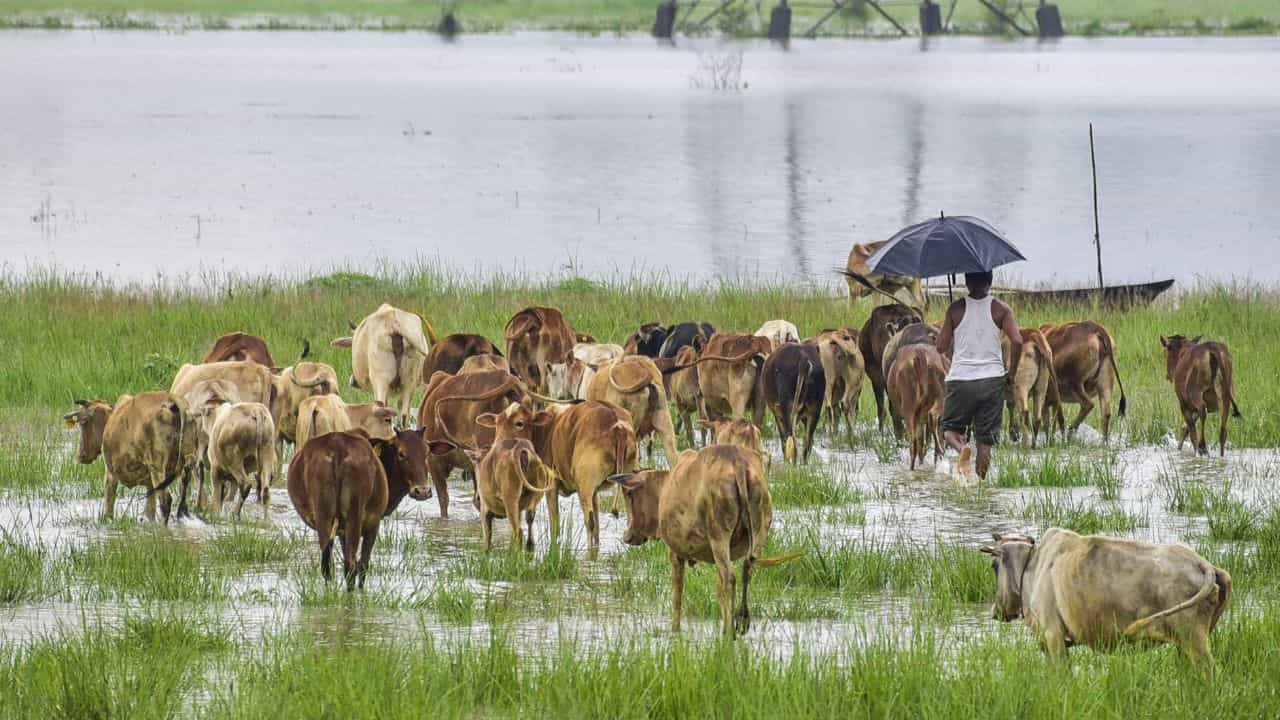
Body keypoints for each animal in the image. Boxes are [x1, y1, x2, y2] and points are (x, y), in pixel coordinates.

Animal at [63, 393, 198, 524]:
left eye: (83, 424)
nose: (80, 455)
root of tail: (172, 400)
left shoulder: (110, 473)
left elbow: (109, 508)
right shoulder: (149, 484)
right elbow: (150, 512)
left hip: (157, 467)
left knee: (165, 500)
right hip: (187, 463)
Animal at [287, 430, 388, 591]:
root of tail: (337, 446)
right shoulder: (374, 523)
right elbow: (364, 564)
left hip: (325, 514)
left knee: (329, 564)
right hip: (353, 513)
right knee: (350, 564)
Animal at [608, 445, 793, 638]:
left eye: (630, 494)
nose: (627, 536)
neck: (664, 487)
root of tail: (738, 462)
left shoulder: (675, 552)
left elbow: (677, 596)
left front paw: (675, 630)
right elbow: (718, 590)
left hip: (718, 535)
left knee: (729, 579)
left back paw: (730, 632)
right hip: (759, 532)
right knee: (746, 570)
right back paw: (740, 621)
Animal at [982, 529, 1230, 666]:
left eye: (994, 566)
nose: (996, 611)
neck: (1032, 567)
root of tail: (1203, 564)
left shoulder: (1053, 636)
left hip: (1193, 637)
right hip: (1190, 639)